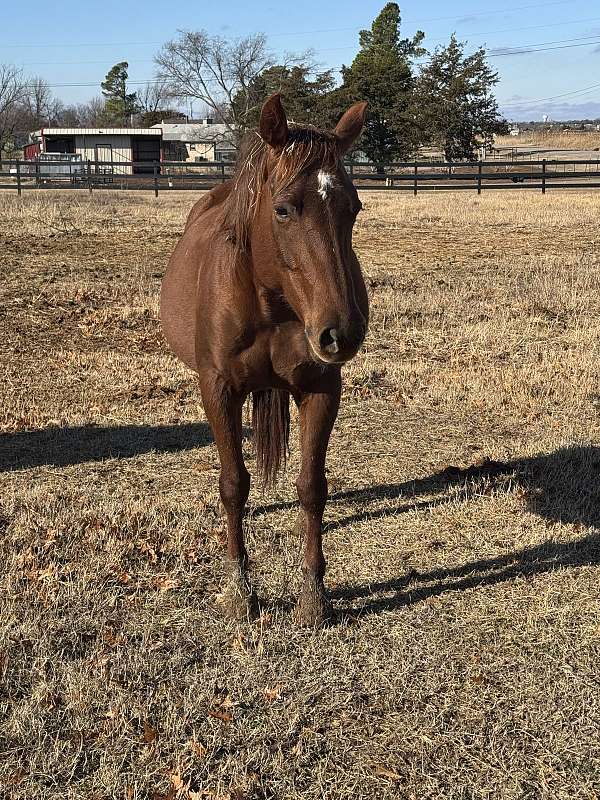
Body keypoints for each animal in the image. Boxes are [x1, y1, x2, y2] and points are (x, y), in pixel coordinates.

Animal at [160, 94, 369, 626]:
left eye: (354, 207)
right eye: (283, 209)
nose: (342, 332)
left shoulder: (321, 390)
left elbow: (312, 487)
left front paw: (314, 596)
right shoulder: (219, 392)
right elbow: (234, 483)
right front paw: (240, 591)